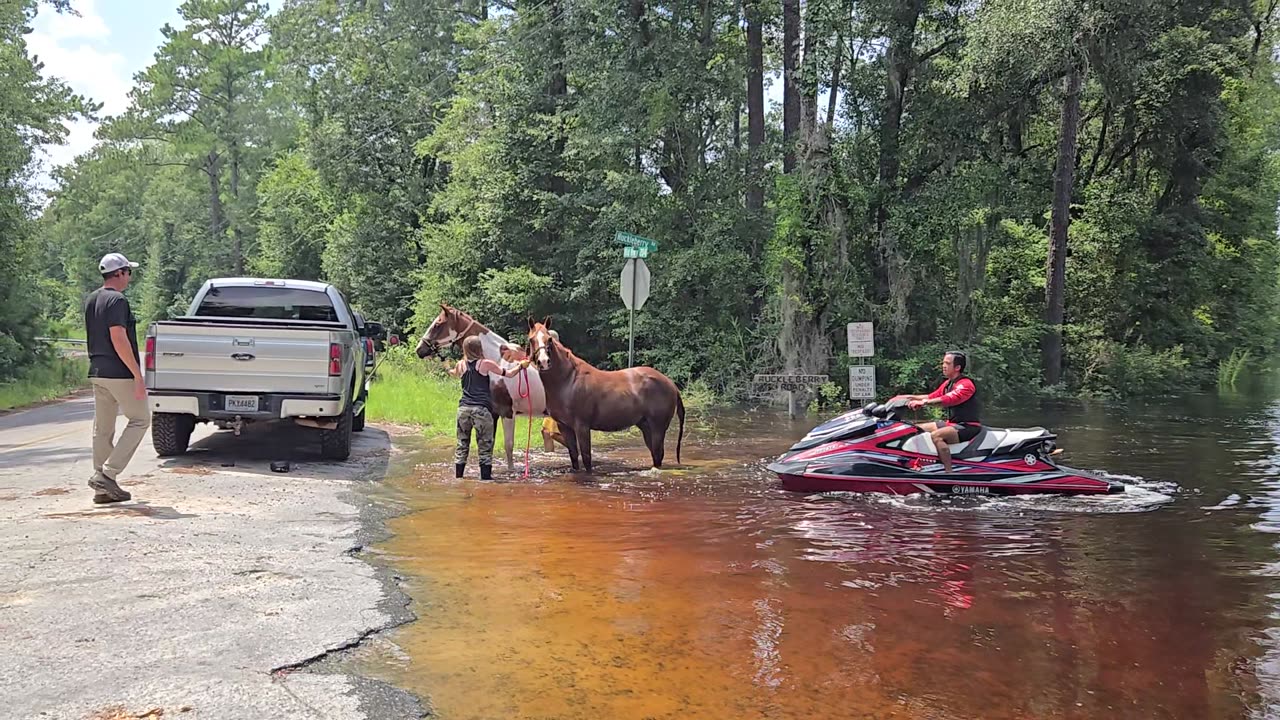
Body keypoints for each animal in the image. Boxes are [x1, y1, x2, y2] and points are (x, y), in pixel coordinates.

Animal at [414, 302, 545, 471]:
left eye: (438, 324)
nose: (419, 350)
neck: (497, 360)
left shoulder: (507, 412)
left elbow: (508, 445)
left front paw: (511, 469)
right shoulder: (493, 413)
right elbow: (490, 444)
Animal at [524, 319, 686, 471]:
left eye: (549, 339)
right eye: (531, 339)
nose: (544, 362)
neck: (568, 380)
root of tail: (671, 384)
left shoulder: (582, 426)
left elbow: (587, 458)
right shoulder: (564, 426)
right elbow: (574, 457)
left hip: (658, 427)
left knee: (658, 454)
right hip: (646, 426)